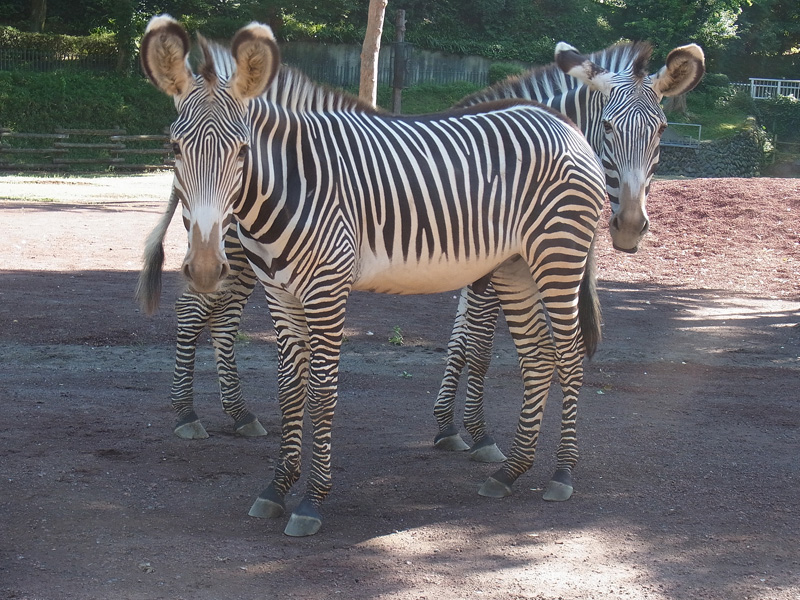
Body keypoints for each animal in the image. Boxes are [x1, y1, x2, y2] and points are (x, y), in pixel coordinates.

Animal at [141, 15, 608, 540]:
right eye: (174, 147)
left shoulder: (326, 292)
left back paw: (561, 473)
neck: (292, 185)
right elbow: (289, 391)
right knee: (539, 358)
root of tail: (562, 124)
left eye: (242, 152)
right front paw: (277, 488)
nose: (204, 266)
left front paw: (312, 500)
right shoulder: (281, 295)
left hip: (557, 256)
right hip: (515, 267)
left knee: (568, 355)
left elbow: (323, 391)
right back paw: (510, 472)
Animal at [432, 38, 708, 460]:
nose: (630, 227)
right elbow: (478, 347)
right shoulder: (494, 264)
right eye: (608, 127)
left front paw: (447, 424)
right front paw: (480, 435)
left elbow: (460, 340)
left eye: (661, 130)